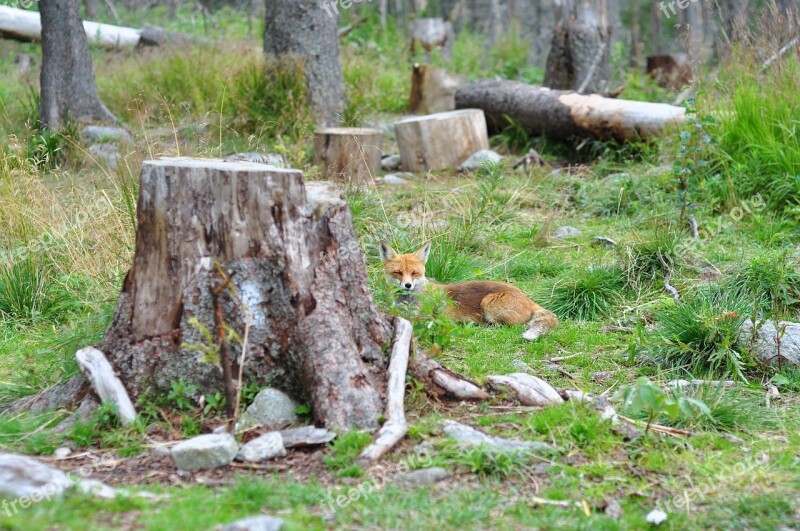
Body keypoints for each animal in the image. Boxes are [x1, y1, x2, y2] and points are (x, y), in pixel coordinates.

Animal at [380, 242, 556, 340]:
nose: (407, 285)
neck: (407, 301)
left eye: (414, 273)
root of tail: (527, 298)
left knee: (507, 326)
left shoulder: (428, 317)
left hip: (489, 303)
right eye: (398, 273)